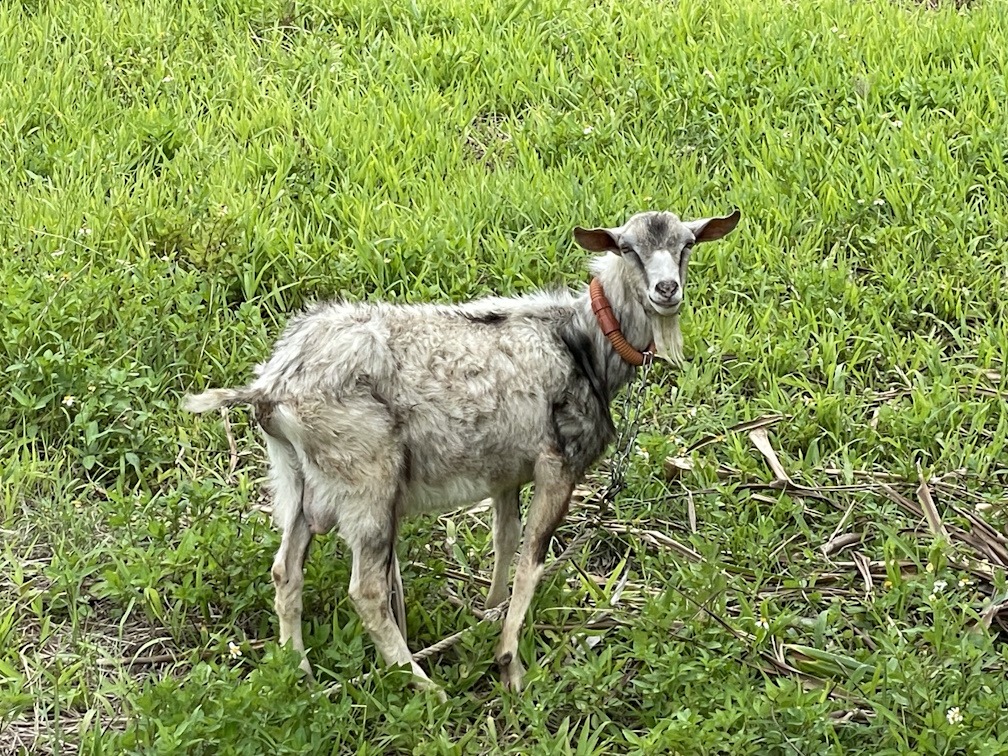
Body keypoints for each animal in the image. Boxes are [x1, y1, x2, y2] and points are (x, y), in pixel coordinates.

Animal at [181, 207, 737, 697]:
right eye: (627, 248)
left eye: (687, 244)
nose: (666, 291)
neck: (581, 342)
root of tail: (271, 386)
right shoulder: (559, 463)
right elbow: (532, 558)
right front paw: (510, 663)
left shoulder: (506, 471)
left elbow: (505, 540)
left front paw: (487, 611)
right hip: (367, 478)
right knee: (367, 590)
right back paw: (423, 685)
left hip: (295, 479)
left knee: (285, 571)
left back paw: (299, 671)